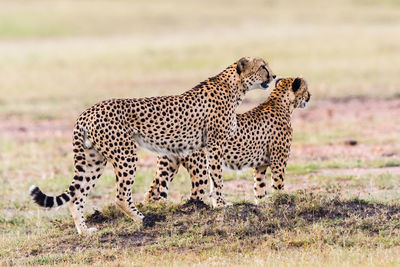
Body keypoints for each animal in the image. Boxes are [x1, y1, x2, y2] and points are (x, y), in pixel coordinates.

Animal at [29, 57, 276, 236]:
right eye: (262, 66)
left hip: (93, 159)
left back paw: (85, 231)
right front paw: (221, 205)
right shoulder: (215, 145)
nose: (274, 76)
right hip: (125, 154)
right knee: (120, 196)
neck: (235, 87)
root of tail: (87, 111)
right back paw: (143, 219)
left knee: (77, 197)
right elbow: (217, 178)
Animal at [145, 77, 310, 205]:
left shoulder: (260, 165)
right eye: (306, 89)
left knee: (152, 193)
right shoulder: (278, 161)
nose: (310, 96)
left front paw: (263, 205)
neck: (281, 103)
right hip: (201, 168)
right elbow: (278, 184)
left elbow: (259, 188)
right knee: (195, 195)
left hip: (169, 166)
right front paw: (280, 202)